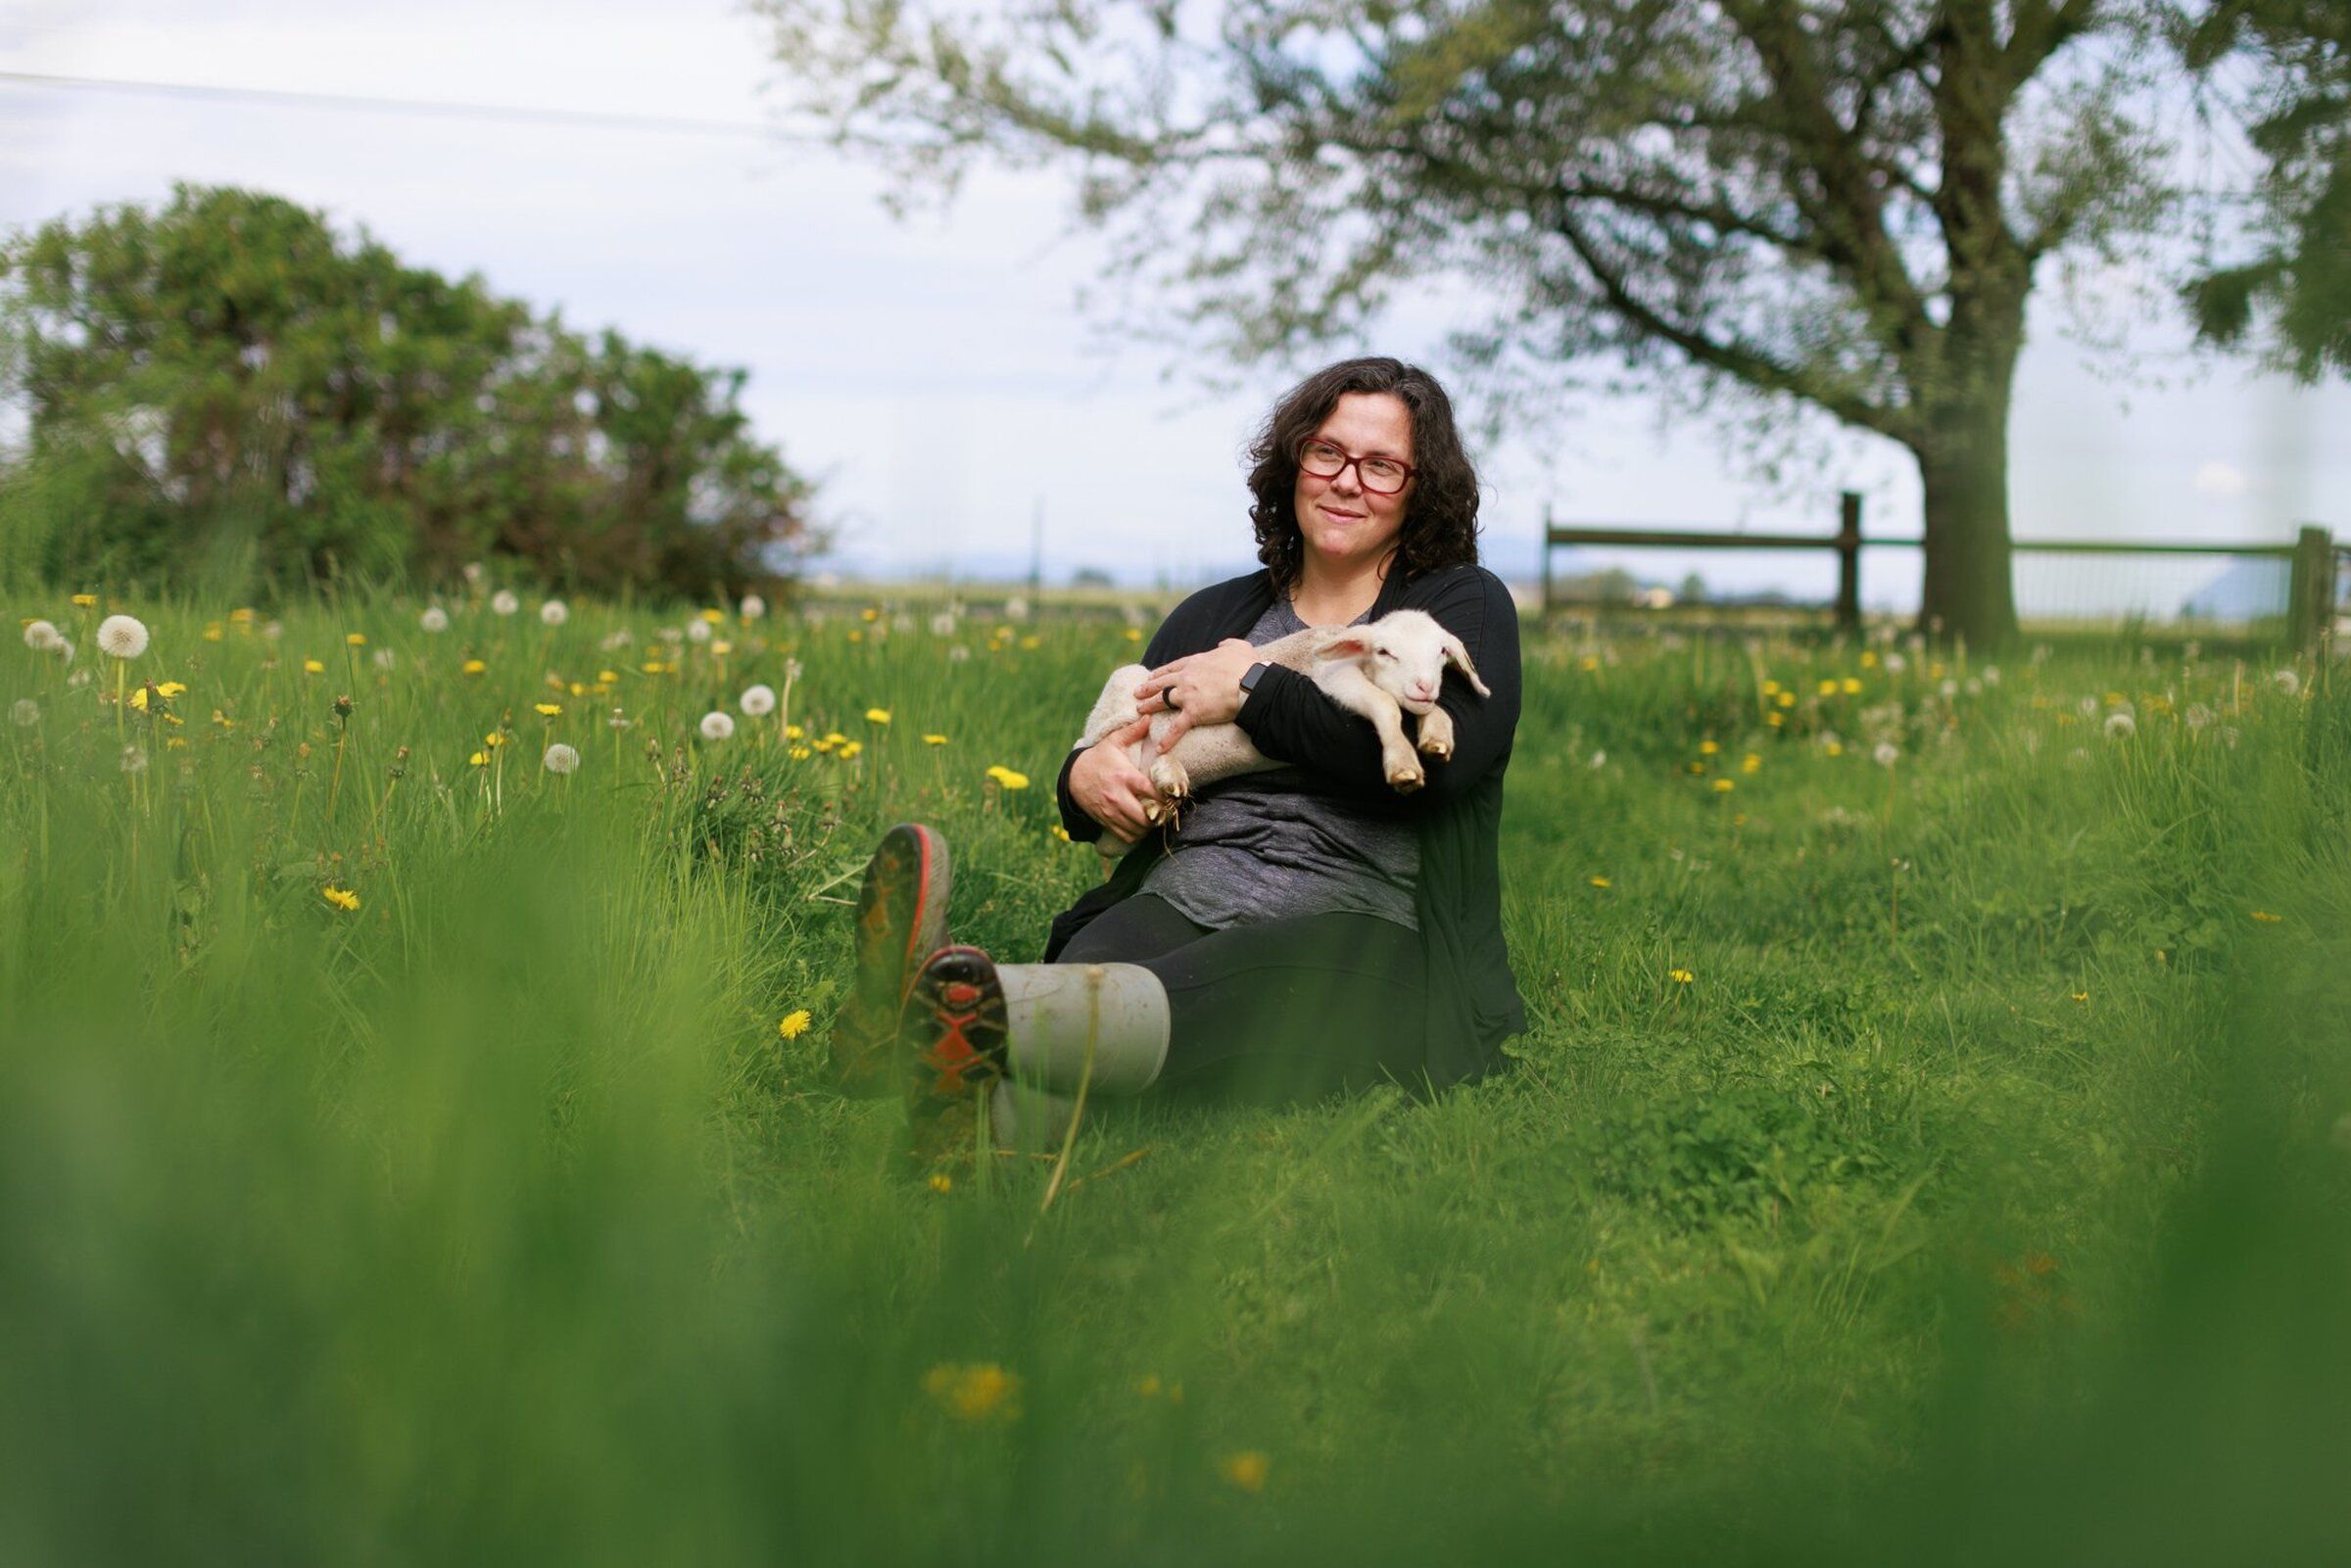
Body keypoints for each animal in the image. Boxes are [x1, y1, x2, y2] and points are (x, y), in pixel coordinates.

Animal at [1072, 606, 1476, 850]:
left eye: (1441, 653)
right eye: (1384, 652)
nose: (1424, 685)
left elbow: (1437, 712)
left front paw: (1436, 740)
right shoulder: (1336, 679)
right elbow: (1385, 704)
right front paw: (1403, 768)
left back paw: (1162, 792)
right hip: (1124, 692)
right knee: (1104, 748)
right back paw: (1164, 775)